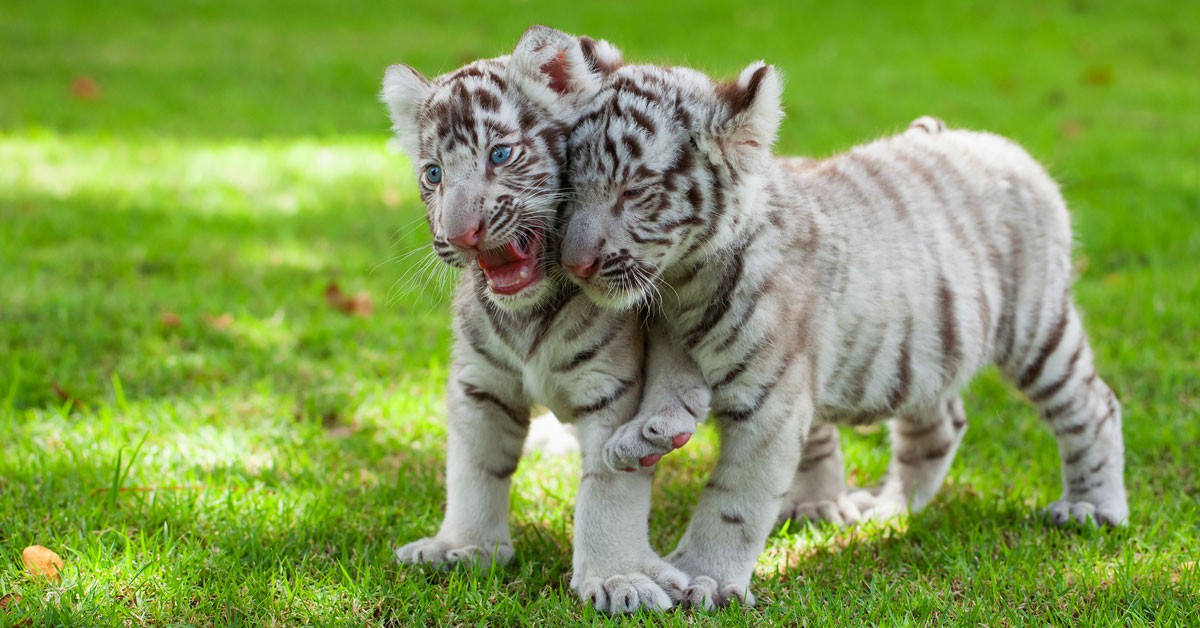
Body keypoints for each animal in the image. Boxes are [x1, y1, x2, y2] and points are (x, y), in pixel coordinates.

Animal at [380, 26, 711, 613]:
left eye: (501, 153)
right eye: (434, 174)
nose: (460, 234)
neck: (527, 316)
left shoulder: (612, 389)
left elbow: (608, 487)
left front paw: (616, 579)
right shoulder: (479, 385)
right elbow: (473, 470)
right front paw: (462, 546)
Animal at [558, 61, 1128, 609]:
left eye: (634, 192)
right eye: (569, 190)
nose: (574, 264)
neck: (684, 281)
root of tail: (994, 142)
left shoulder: (771, 398)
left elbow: (734, 498)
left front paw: (706, 576)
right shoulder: (672, 337)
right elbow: (670, 388)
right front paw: (641, 438)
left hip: (1036, 325)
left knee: (1093, 404)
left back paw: (1091, 507)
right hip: (926, 348)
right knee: (940, 425)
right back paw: (889, 508)